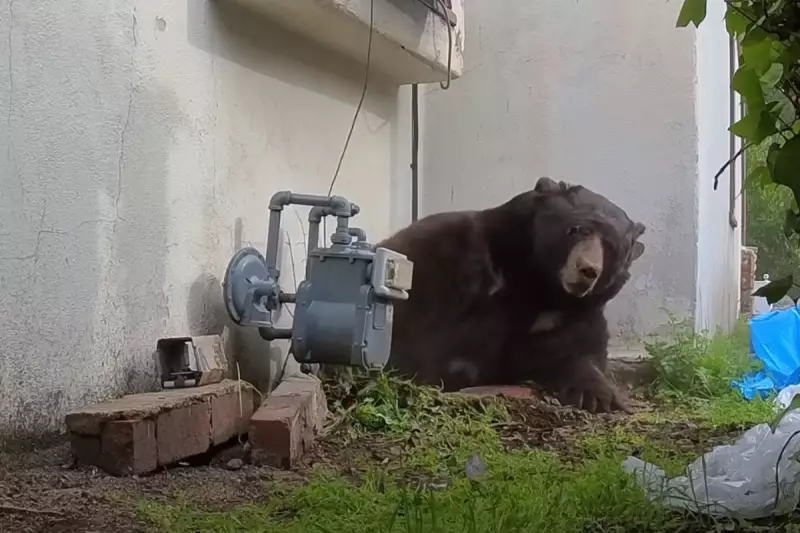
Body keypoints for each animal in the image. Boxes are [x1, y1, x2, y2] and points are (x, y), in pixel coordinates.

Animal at [378, 177, 645, 413]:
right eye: (577, 229)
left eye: (611, 246)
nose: (588, 269)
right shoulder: (447, 257)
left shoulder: (575, 312)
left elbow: (578, 349)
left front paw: (598, 395)